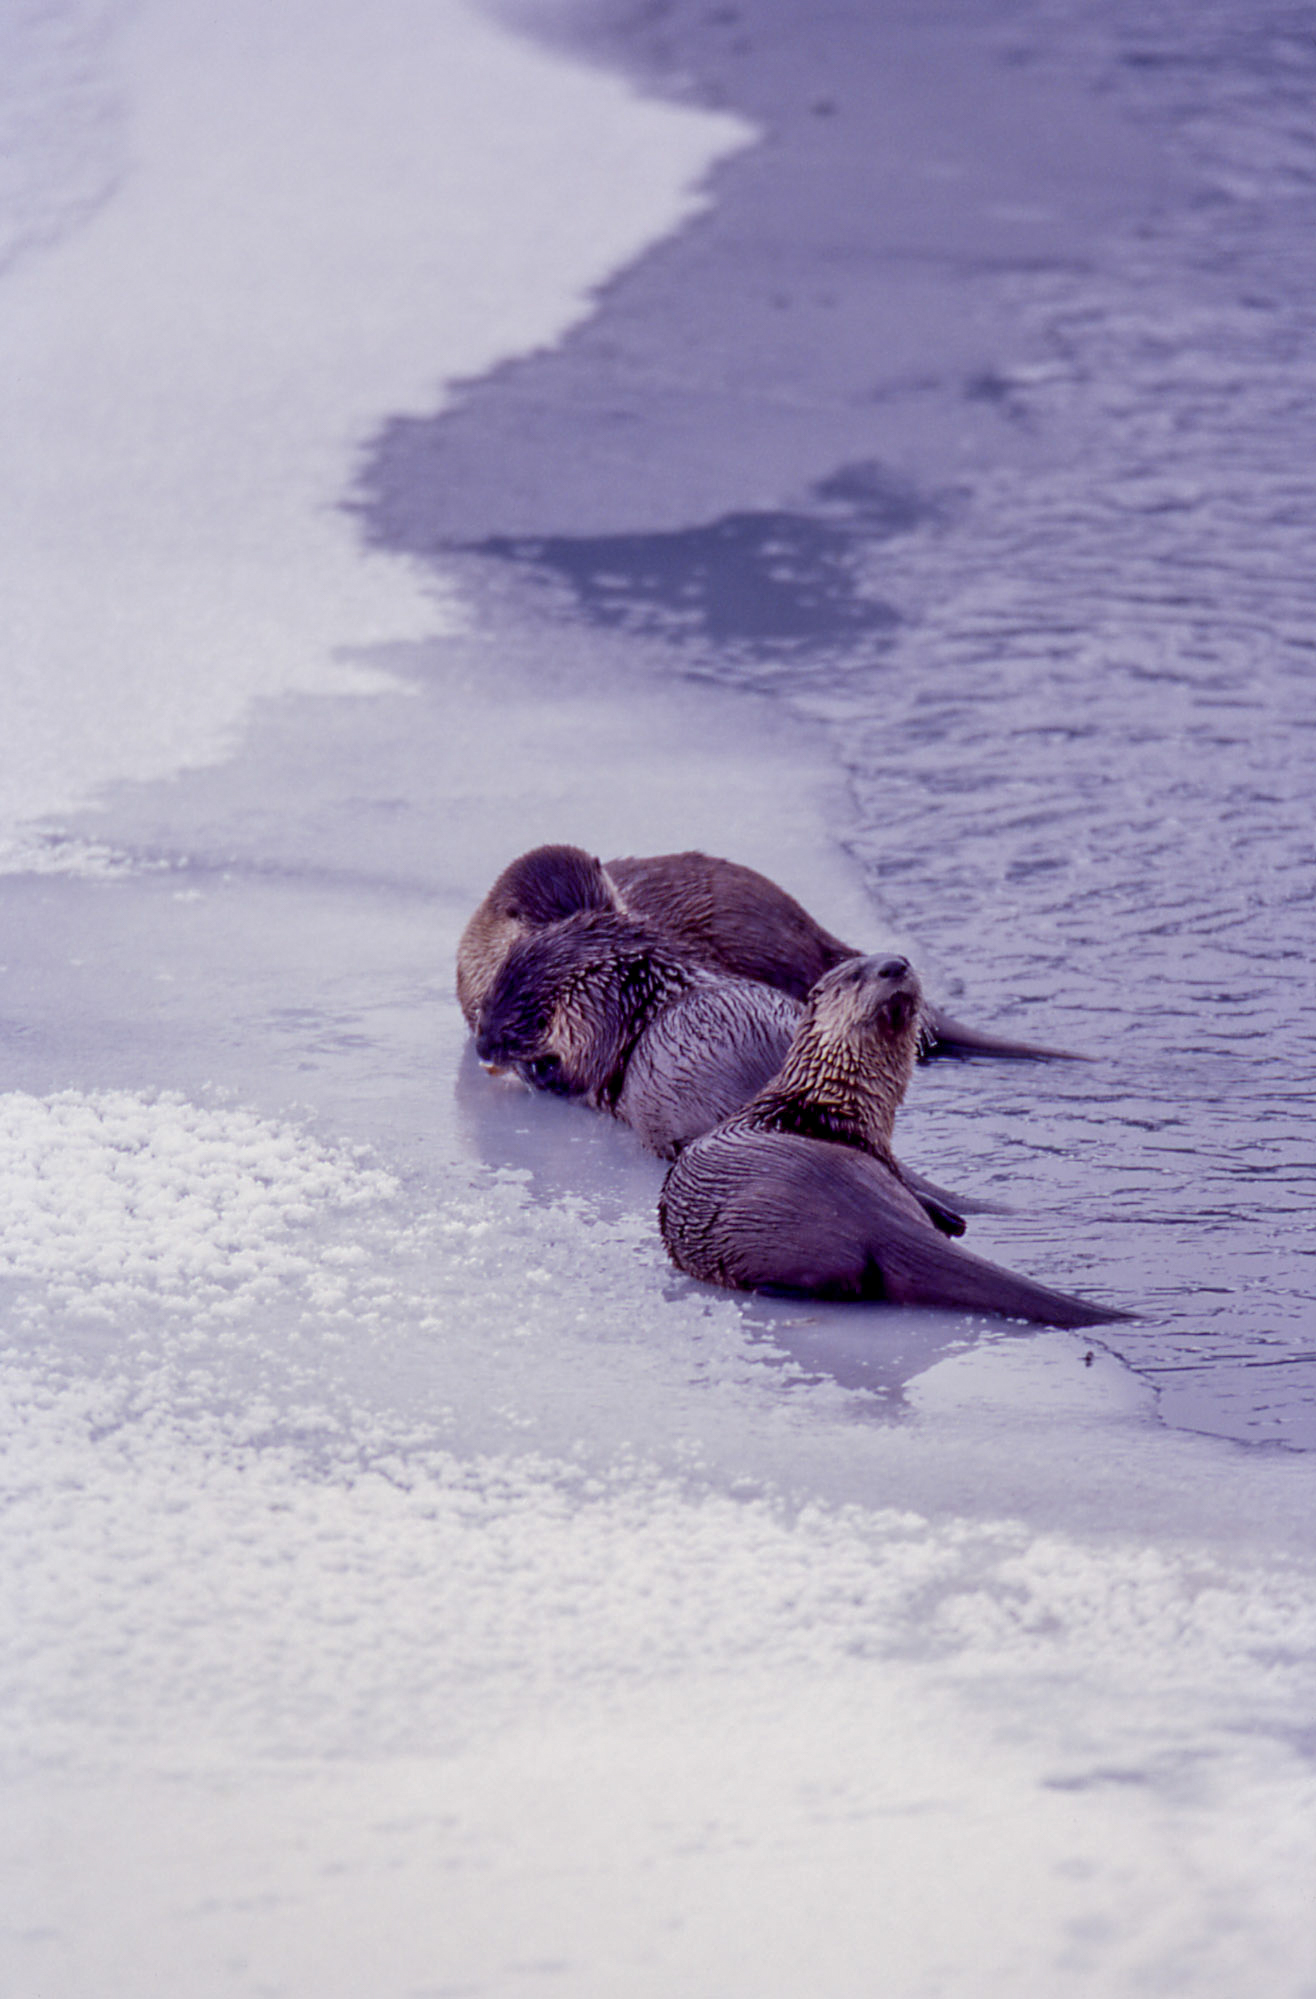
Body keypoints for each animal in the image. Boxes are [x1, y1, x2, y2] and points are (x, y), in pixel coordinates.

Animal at [475, 911, 972, 1232]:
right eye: (486, 999)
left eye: (514, 1017)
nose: (480, 1044)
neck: (647, 1006)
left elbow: (578, 1078)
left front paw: (534, 1072)